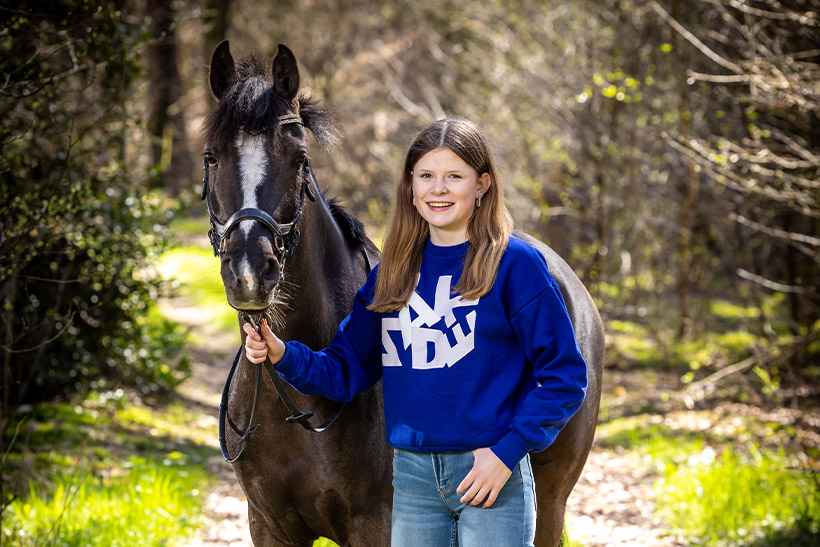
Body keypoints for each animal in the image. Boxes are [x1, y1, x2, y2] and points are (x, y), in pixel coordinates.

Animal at [202, 39, 604, 547]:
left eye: (298, 159)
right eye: (211, 157)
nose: (250, 272)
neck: (298, 408)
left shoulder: (376, 524)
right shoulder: (269, 525)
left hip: (549, 503)